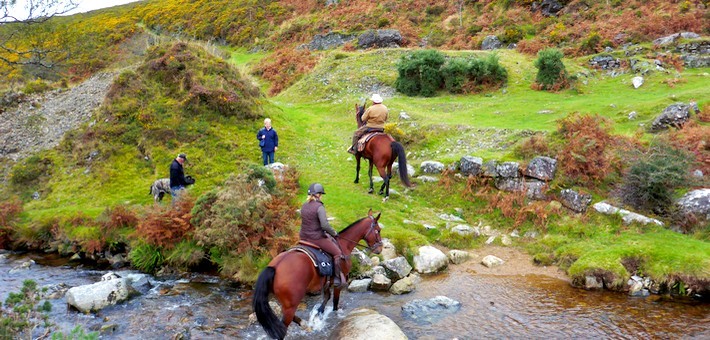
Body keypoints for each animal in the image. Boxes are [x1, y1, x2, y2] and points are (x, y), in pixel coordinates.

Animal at [254, 210, 384, 340]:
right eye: (378, 230)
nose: (380, 249)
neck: (343, 244)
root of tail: (275, 267)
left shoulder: (327, 282)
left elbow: (326, 298)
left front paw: (318, 314)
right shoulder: (337, 284)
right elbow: (335, 302)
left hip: (286, 303)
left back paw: (304, 324)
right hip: (291, 305)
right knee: (283, 327)